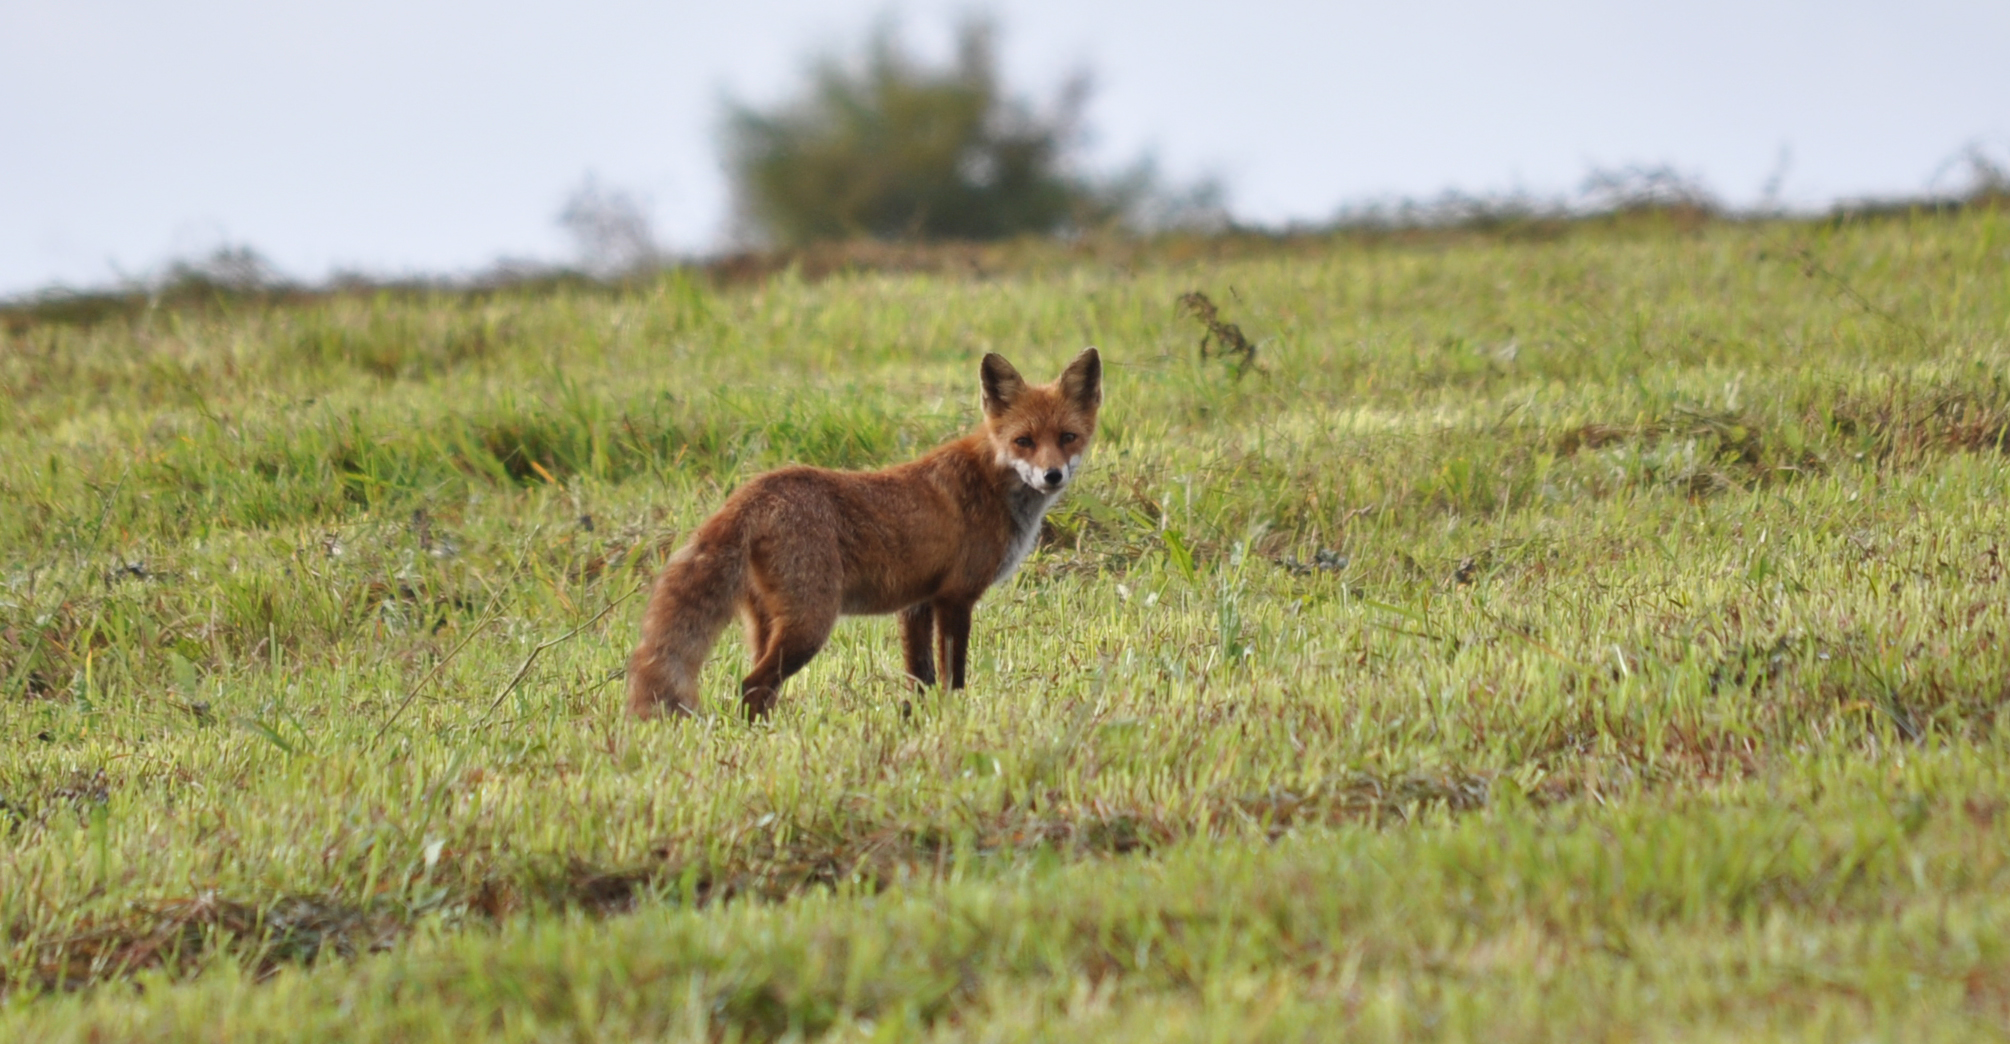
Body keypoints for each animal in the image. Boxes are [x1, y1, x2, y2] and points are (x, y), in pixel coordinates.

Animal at [623, 350, 1101, 720]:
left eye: (1067, 437)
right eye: (1024, 441)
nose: (1052, 475)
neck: (991, 483)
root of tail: (754, 490)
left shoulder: (917, 604)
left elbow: (921, 680)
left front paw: (919, 722)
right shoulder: (956, 597)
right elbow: (954, 678)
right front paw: (956, 720)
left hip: (767, 624)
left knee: (761, 688)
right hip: (811, 624)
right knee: (751, 686)